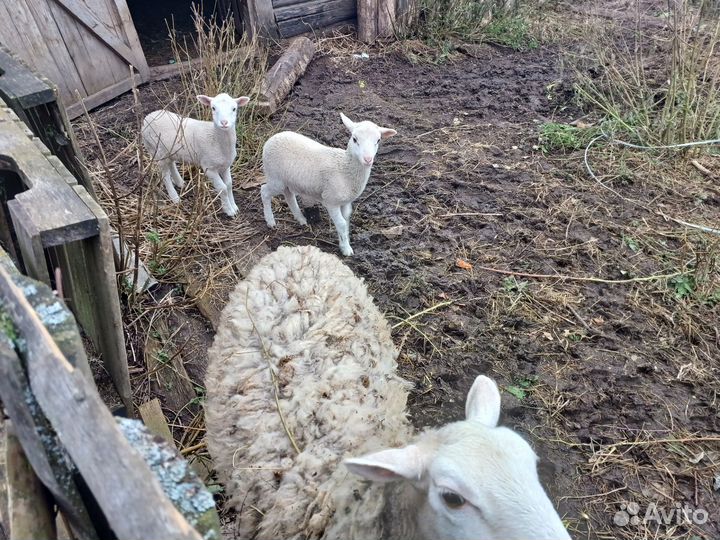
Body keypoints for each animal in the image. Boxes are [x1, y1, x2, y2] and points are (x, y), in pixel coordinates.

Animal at [260, 113, 397, 256]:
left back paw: (301, 219)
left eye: (378, 140)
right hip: (275, 177)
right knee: (264, 191)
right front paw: (346, 249)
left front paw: (344, 242)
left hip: (288, 180)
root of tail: (272, 138)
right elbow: (341, 223)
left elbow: (346, 221)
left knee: (289, 195)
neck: (345, 168)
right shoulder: (331, 200)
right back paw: (271, 221)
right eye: (354, 139)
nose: (368, 159)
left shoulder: (346, 202)